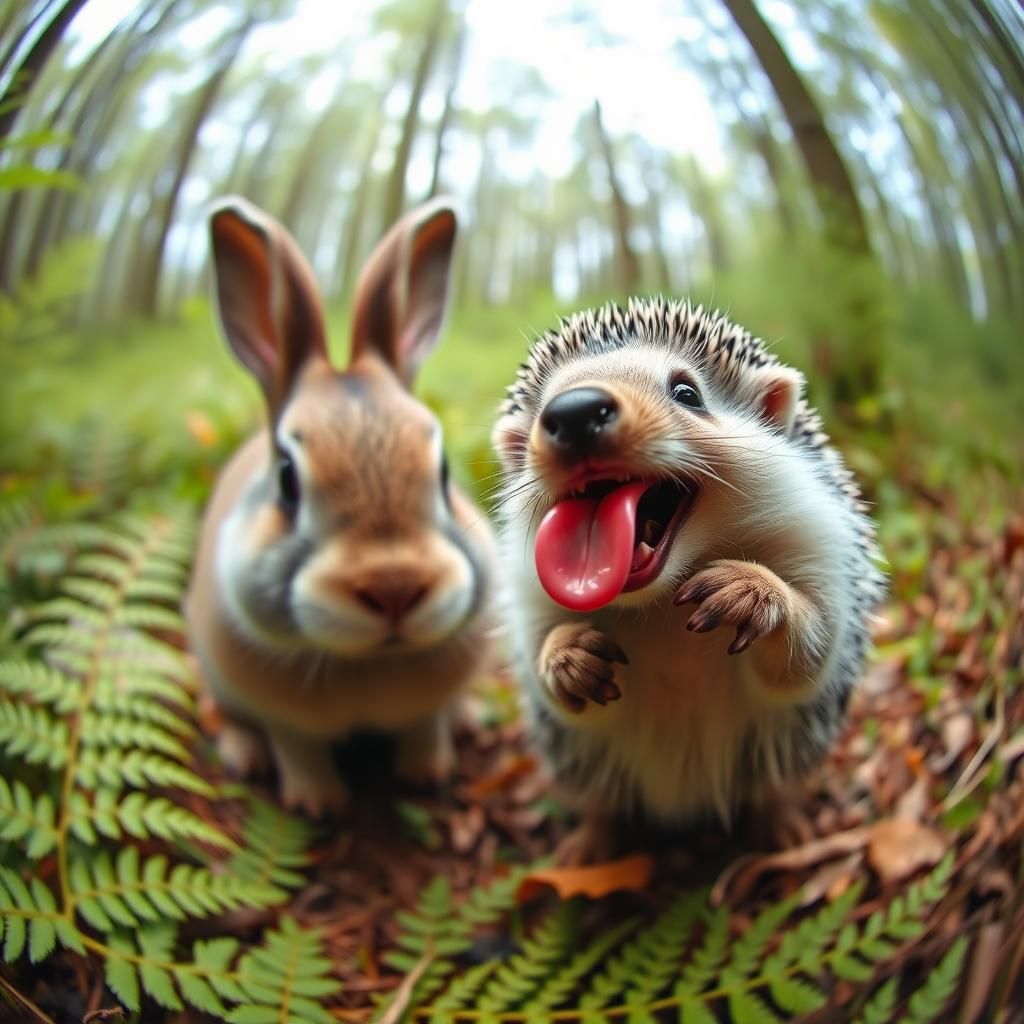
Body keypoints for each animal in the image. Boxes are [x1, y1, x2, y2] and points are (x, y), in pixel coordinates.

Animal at [185, 196, 496, 816]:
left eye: (444, 472)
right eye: (287, 479)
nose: (395, 586)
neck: (370, 664)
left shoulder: (427, 707)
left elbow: (427, 724)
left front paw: (427, 774)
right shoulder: (283, 720)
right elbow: (295, 746)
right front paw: (318, 804)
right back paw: (243, 755)